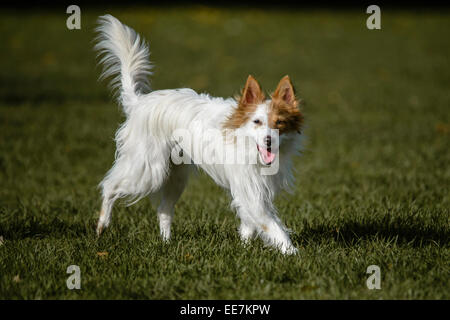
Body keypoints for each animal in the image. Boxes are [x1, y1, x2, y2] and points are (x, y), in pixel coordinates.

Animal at [95, 14, 306, 255]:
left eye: (280, 123)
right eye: (257, 122)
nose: (269, 141)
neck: (246, 145)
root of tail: (140, 102)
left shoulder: (255, 191)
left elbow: (249, 225)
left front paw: (244, 248)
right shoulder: (251, 193)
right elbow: (273, 226)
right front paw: (294, 253)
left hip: (175, 176)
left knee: (164, 210)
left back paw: (167, 243)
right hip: (147, 170)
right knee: (110, 186)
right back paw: (102, 225)